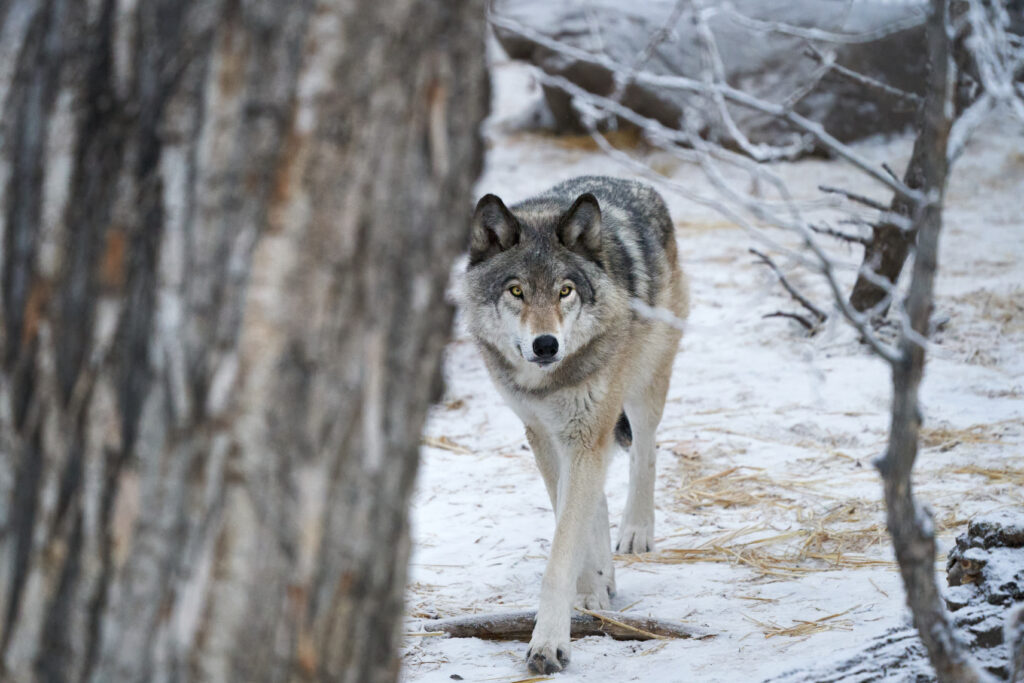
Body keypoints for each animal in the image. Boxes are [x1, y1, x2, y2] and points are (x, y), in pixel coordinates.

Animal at [462, 175, 688, 674]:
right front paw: (590, 591)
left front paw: (548, 644)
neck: (549, 382)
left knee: (645, 453)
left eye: (565, 290)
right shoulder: (543, 435)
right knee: (598, 497)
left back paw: (636, 532)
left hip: (644, 388)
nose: (545, 344)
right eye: (516, 291)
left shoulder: (585, 434)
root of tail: (634, 183)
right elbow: (573, 523)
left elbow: (562, 551)